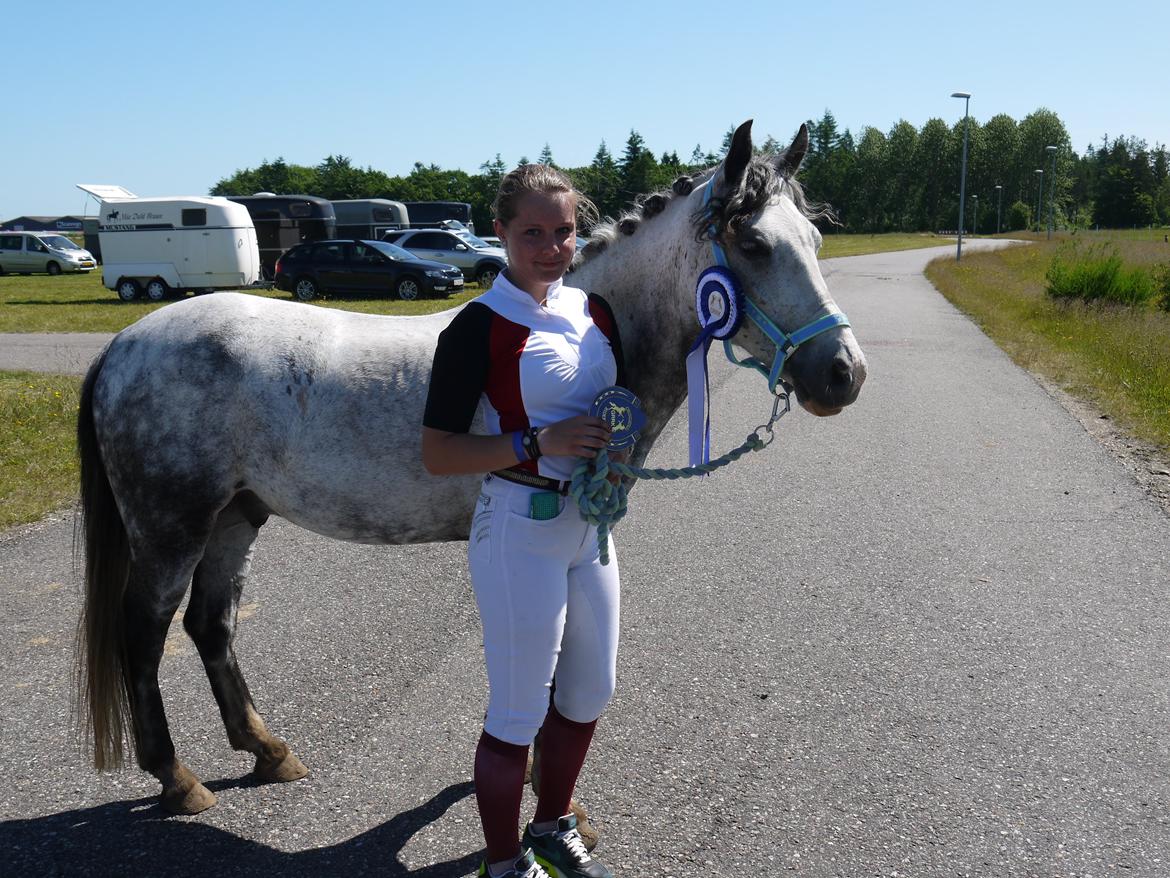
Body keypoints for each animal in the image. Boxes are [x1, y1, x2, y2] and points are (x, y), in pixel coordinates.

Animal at [75, 120, 867, 823]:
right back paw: (176, 779)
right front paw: (547, 790)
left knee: (211, 625)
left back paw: (268, 751)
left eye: (815, 240)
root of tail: (124, 345)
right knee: (143, 633)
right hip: (173, 528)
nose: (844, 373)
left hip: (236, 516)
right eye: (752, 242)